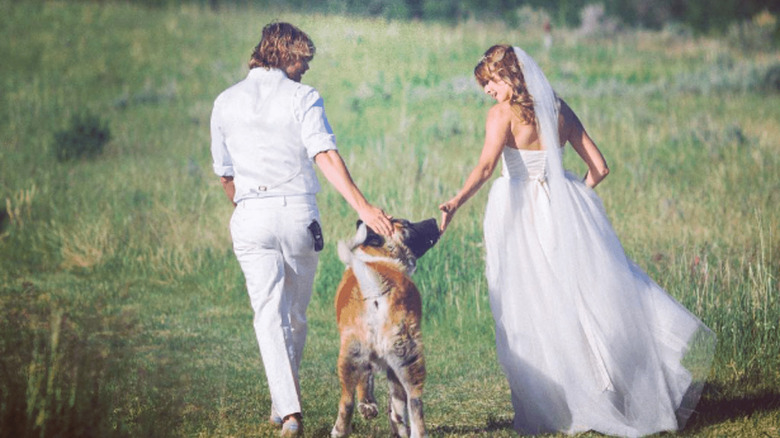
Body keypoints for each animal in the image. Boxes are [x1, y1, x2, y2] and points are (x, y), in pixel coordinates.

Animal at [330, 219, 438, 438]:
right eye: (407, 224)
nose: (433, 220)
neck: (378, 255)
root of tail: (375, 291)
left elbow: (367, 380)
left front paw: (368, 406)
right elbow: (395, 400)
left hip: (350, 356)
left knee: (347, 401)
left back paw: (339, 430)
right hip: (408, 358)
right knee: (414, 402)